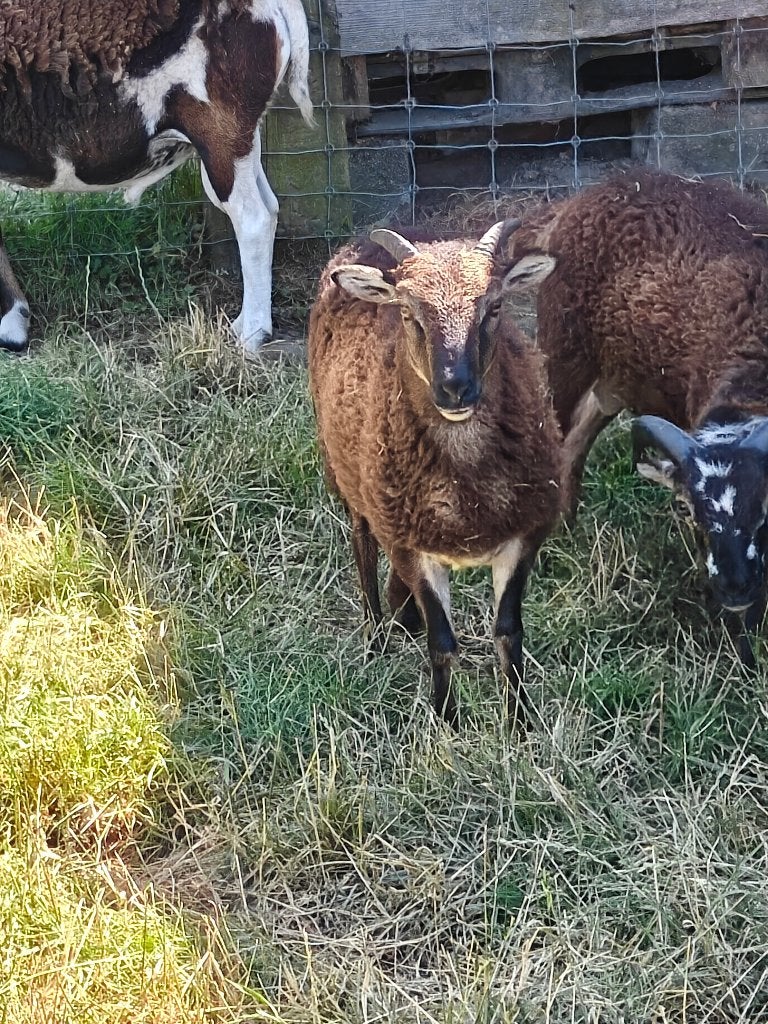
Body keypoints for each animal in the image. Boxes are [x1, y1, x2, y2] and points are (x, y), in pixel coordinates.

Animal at [0, 0, 313, 353]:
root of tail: (269, 6)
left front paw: (11, 327)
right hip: (244, 137)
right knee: (269, 207)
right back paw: (241, 325)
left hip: (221, 129)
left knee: (253, 219)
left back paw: (253, 335)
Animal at [307, 222, 565, 726]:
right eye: (408, 312)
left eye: (495, 307)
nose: (455, 388)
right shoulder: (411, 546)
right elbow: (442, 642)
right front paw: (446, 720)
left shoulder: (524, 535)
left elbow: (509, 631)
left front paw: (519, 721)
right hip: (348, 476)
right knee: (362, 547)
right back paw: (375, 638)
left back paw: (401, 614)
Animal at [495, 169, 768, 666]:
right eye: (687, 510)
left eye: (765, 509)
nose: (734, 589)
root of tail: (586, 196)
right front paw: (744, 646)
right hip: (565, 348)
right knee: (558, 438)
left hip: (612, 380)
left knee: (577, 441)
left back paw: (569, 525)